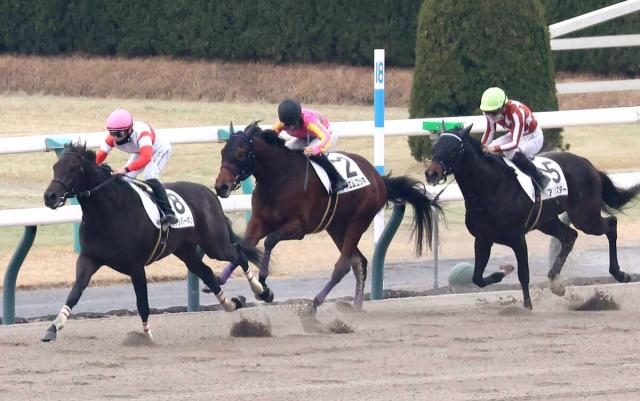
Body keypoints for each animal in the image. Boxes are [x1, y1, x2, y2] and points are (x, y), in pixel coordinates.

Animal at [41, 143, 266, 342]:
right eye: (55, 166)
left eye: (73, 168)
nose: (49, 197)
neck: (110, 211)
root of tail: (210, 193)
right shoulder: (89, 258)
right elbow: (75, 292)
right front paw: (53, 327)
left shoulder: (136, 266)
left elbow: (142, 302)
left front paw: (147, 337)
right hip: (186, 251)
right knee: (208, 273)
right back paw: (231, 304)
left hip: (214, 244)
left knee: (238, 253)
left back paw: (260, 290)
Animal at [213, 122, 441, 310]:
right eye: (223, 151)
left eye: (241, 153)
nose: (221, 187)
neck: (278, 178)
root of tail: (379, 179)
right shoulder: (259, 221)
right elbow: (242, 247)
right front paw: (221, 280)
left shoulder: (299, 227)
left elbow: (269, 241)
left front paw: (263, 285)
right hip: (337, 227)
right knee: (359, 262)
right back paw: (356, 307)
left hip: (358, 221)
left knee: (343, 265)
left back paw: (315, 302)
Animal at [425, 125, 640, 309]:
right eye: (436, 146)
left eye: (454, 149)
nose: (431, 173)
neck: (489, 188)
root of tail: (588, 164)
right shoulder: (483, 239)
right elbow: (477, 278)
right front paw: (503, 271)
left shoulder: (518, 238)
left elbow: (523, 273)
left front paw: (527, 305)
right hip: (547, 221)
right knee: (569, 236)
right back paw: (556, 284)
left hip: (585, 216)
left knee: (610, 225)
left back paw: (620, 274)